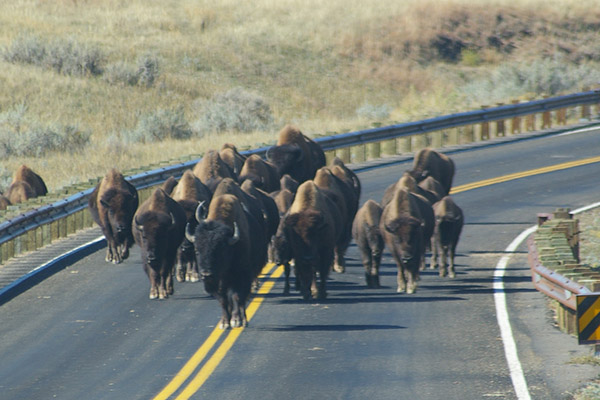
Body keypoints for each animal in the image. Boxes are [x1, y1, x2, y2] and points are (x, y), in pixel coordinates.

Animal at [185, 194, 264, 328]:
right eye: (197, 250)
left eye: (220, 249)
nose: (206, 274)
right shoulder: (218, 285)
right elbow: (223, 300)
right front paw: (224, 322)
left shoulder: (241, 277)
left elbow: (237, 297)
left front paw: (236, 321)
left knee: (242, 299)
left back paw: (244, 320)